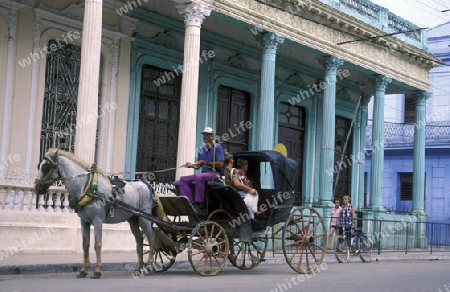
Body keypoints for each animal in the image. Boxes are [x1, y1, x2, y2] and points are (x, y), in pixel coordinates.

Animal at [33, 148, 156, 278]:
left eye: (46, 166)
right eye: (39, 165)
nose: (37, 187)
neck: (87, 187)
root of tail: (147, 185)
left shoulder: (97, 220)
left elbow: (97, 244)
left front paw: (97, 270)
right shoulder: (84, 221)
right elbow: (85, 245)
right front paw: (83, 270)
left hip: (144, 219)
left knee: (151, 237)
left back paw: (149, 265)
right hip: (133, 219)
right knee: (139, 240)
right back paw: (138, 267)